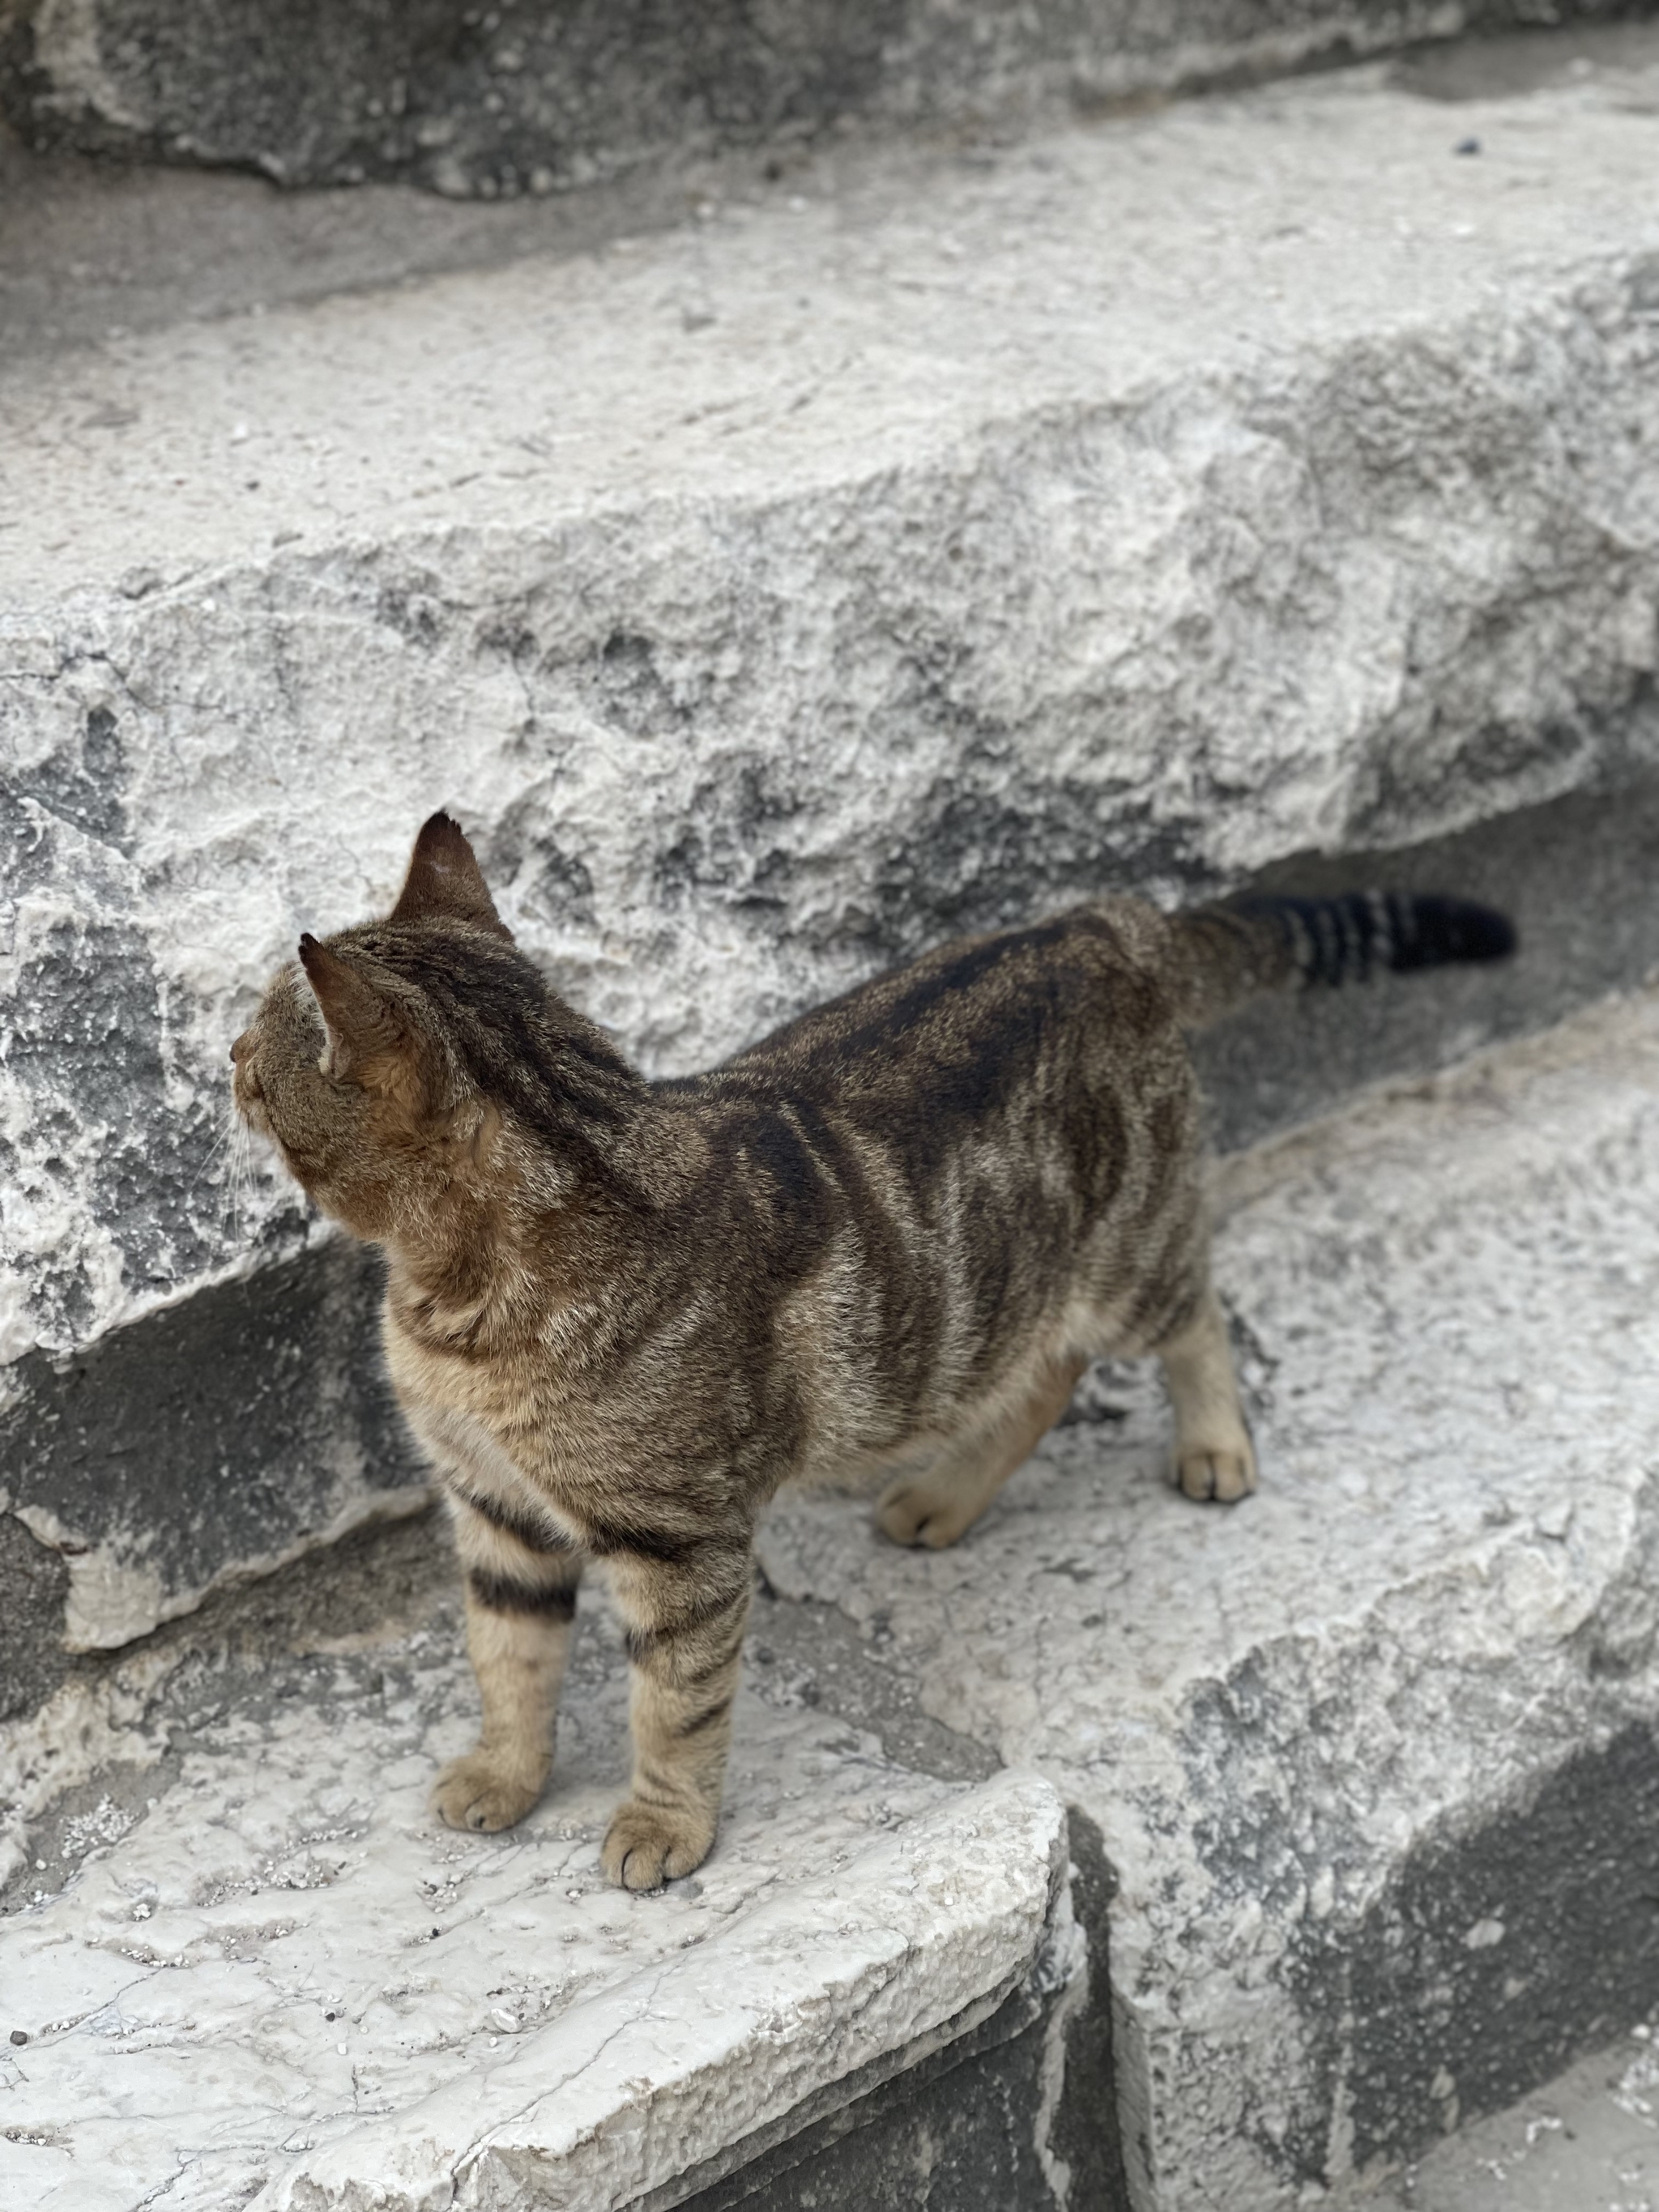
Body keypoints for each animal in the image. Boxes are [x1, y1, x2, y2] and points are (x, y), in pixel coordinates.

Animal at [232, 811, 1513, 1889]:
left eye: (262, 1034)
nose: (229, 1051)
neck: (451, 1302)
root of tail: (1101, 921)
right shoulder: (495, 1509)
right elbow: (507, 1661)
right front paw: (505, 1774)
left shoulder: (680, 1543)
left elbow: (674, 1705)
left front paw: (662, 1822)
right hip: (995, 1304)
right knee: (1039, 1374)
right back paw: (943, 1496)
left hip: (1126, 1265)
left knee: (1189, 1312)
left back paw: (1212, 1443)